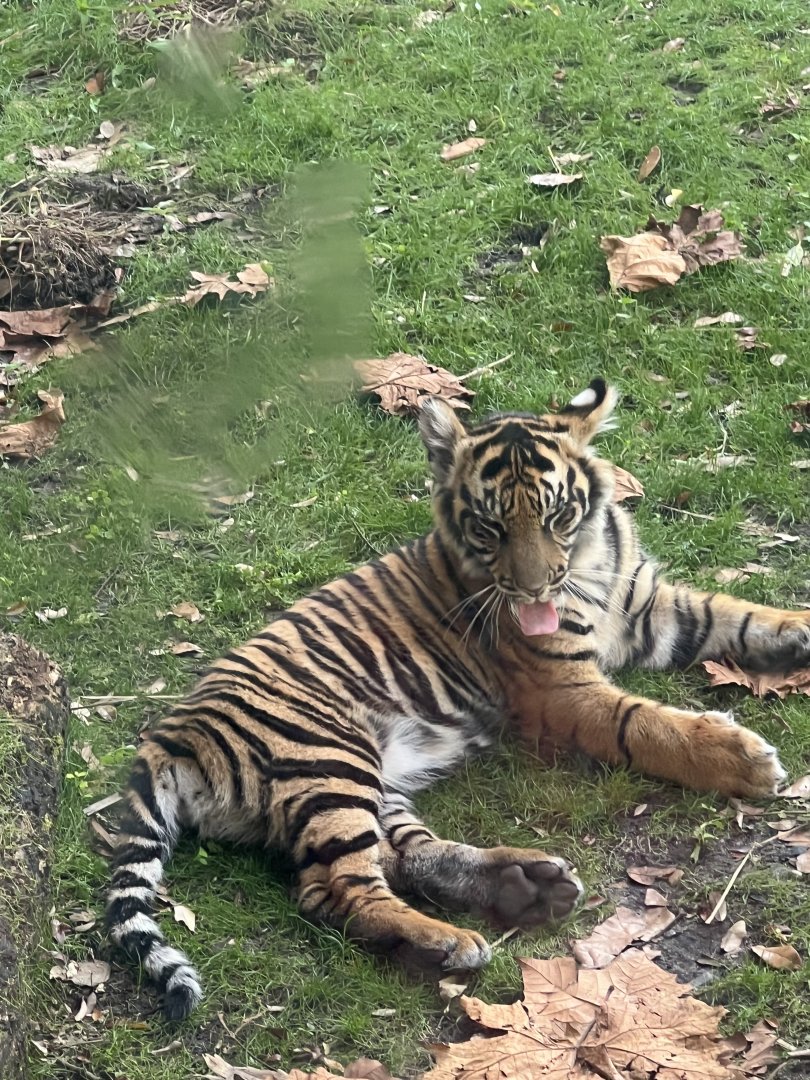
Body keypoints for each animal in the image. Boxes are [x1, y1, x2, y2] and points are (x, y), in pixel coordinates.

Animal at [105, 378, 808, 1021]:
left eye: (557, 516)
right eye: (488, 526)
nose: (531, 590)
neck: (592, 560)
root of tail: (167, 736)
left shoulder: (653, 608)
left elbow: (741, 615)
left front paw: (796, 628)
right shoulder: (562, 688)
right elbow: (646, 723)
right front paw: (746, 760)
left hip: (369, 781)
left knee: (402, 855)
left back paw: (526, 886)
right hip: (329, 755)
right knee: (334, 889)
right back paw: (450, 942)